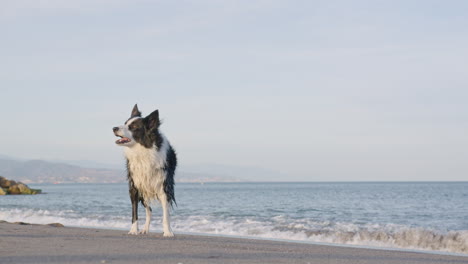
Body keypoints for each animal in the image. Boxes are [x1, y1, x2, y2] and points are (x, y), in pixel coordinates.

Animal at [113, 104, 177, 237]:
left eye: (132, 127)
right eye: (125, 123)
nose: (114, 128)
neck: (142, 151)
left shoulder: (163, 186)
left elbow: (166, 214)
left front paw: (168, 232)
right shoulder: (135, 186)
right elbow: (134, 213)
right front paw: (133, 230)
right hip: (144, 189)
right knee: (149, 210)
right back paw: (145, 229)